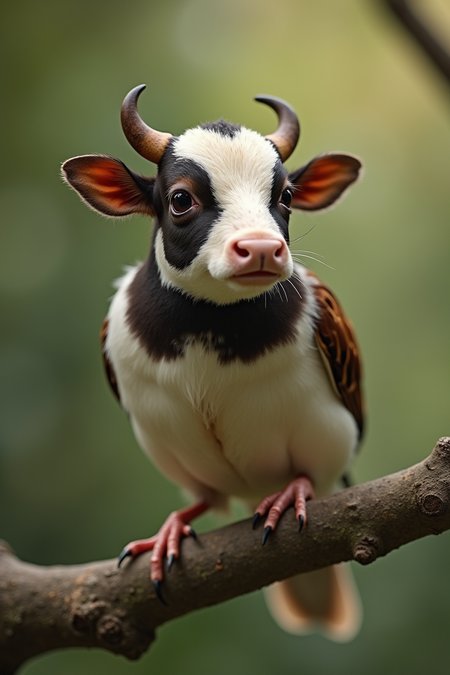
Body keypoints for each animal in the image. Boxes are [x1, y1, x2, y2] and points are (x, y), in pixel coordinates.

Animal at [62, 84, 364, 641]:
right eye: (181, 199)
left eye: (286, 197)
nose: (263, 248)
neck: (208, 323)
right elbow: (200, 498)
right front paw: (171, 528)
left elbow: (308, 473)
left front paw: (294, 490)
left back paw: (284, 493)